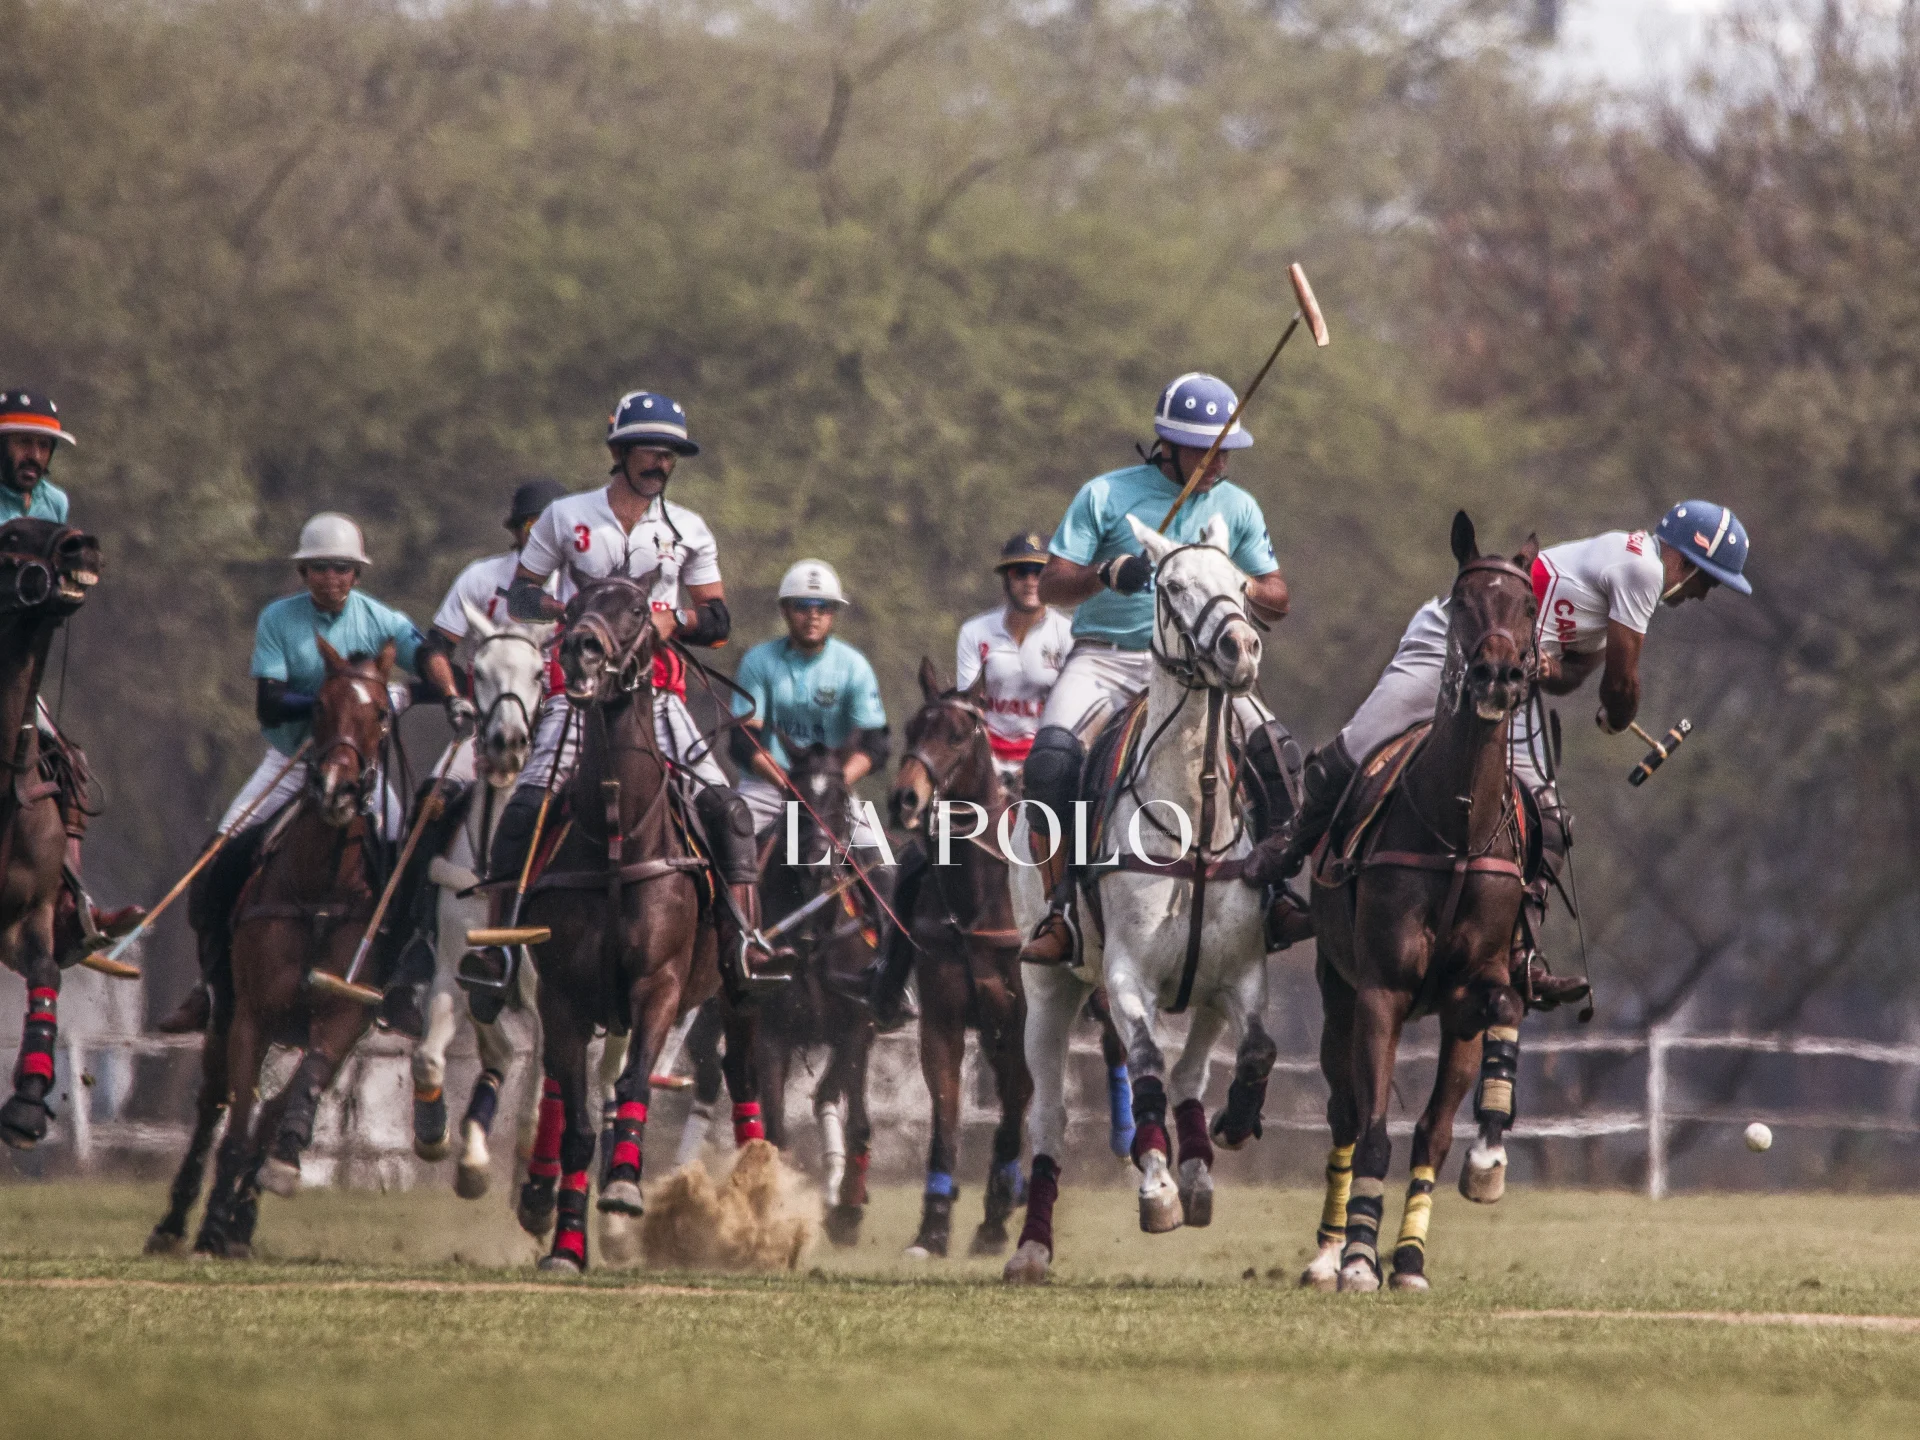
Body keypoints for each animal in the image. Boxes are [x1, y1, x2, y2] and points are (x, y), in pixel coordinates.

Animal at [151, 637, 403, 1259]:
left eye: (381, 715)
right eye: (320, 707)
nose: (336, 789)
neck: (320, 889)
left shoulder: (345, 1018)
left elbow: (287, 1102)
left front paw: (271, 1180)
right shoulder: (254, 1014)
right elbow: (237, 1127)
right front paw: (211, 1228)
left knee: (266, 1110)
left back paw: (242, 1217)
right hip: (222, 1010)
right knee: (214, 1103)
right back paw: (176, 1223)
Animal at [518, 576, 748, 1274]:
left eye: (640, 610)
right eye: (574, 603)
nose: (582, 648)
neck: (618, 841)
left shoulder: (659, 985)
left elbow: (635, 1082)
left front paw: (622, 1185)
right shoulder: (562, 997)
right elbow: (577, 1124)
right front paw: (567, 1242)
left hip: (731, 992)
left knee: (742, 1072)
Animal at [1006, 514, 1274, 1282]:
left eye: (1242, 582)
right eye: (1171, 584)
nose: (1241, 649)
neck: (1194, 815)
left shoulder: (1239, 973)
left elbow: (1253, 1050)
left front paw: (1227, 1131)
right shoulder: (1127, 976)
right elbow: (1149, 1065)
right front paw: (1155, 1188)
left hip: (1201, 991)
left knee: (1190, 1075)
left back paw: (1200, 1167)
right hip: (1049, 987)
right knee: (1051, 1119)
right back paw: (1032, 1246)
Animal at [1297, 514, 1536, 1297]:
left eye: (1527, 607)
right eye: (1462, 602)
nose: (1497, 675)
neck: (1456, 831)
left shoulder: (1470, 992)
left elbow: (1438, 1125)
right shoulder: (1382, 990)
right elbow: (1373, 1129)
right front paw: (1359, 1258)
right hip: (1336, 991)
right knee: (1345, 1113)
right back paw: (1328, 1253)